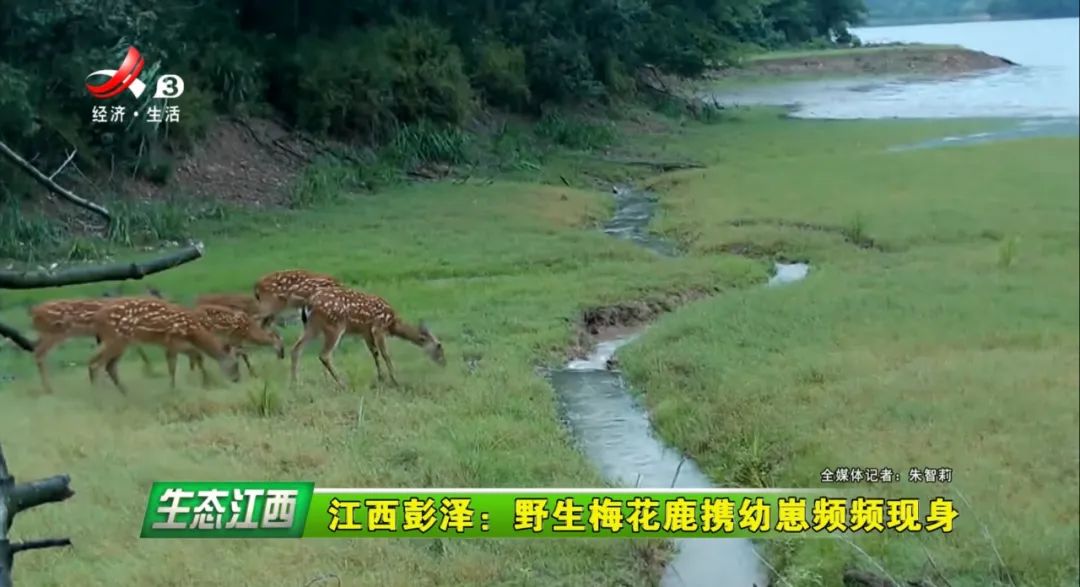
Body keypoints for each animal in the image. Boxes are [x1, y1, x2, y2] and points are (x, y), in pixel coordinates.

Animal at [28, 295, 159, 392]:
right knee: (39, 353)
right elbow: (138, 349)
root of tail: (34, 312)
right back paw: (48, 389)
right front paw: (150, 371)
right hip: (54, 334)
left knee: (35, 349)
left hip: (45, 334)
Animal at [89, 297, 243, 394]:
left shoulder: (181, 345)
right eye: (235, 364)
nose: (237, 379)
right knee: (97, 364)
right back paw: (99, 396)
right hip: (116, 339)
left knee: (107, 365)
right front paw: (173, 389)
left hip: (120, 342)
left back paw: (125, 393)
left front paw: (206, 384)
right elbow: (172, 367)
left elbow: (197, 357)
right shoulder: (171, 342)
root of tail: (97, 318)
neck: (192, 332)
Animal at [289, 284, 444, 390]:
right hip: (334, 326)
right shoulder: (378, 328)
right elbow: (385, 354)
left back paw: (296, 382)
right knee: (324, 354)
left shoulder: (366, 332)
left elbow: (374, 353)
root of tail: (308, 304)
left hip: (311, 326)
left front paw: (381, 378)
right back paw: (342, 383)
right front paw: (394, 380)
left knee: (296, 348)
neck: (392, 324)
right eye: (439, 347)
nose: (444, 362)